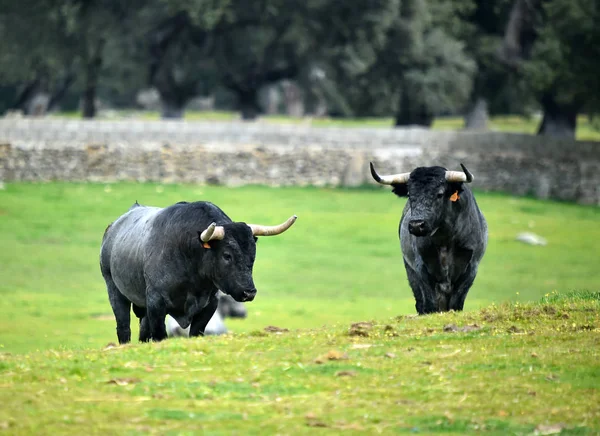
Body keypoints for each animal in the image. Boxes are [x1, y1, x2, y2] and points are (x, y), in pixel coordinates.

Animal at [100, 201, 298, 344]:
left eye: (253, 254)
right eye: (227, 255)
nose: (248, 293)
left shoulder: (209, 305)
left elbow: (195, 333)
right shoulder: (156, 303)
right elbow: (159, 335)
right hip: (114, 291)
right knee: (123, 328)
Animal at [370, 163, 488, 314]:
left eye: (440, 194)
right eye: (409, 194)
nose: (416, 225)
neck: (445, 239)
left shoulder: (471, 268)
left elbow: (456, 303)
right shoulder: (422, 268)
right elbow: (430, 303)